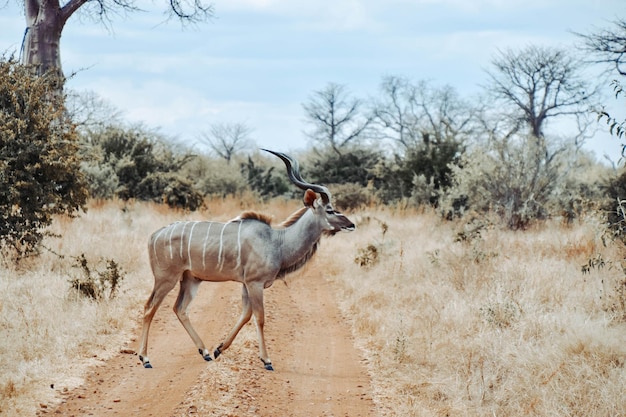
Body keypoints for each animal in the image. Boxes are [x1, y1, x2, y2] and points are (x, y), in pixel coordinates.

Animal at [137, 148, 354, 368]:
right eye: (330, 210)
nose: (351, 224)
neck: (277, 241)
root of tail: (154, 236)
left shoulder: (246, 284)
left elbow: (245, 314)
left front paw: (218, 349)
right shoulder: (255, 283)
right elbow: (259, 317)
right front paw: (266, 360)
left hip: (191, 279)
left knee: (180, 309)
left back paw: (204, 351)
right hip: (166, 279)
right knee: (149, 308)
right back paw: (145, 358)